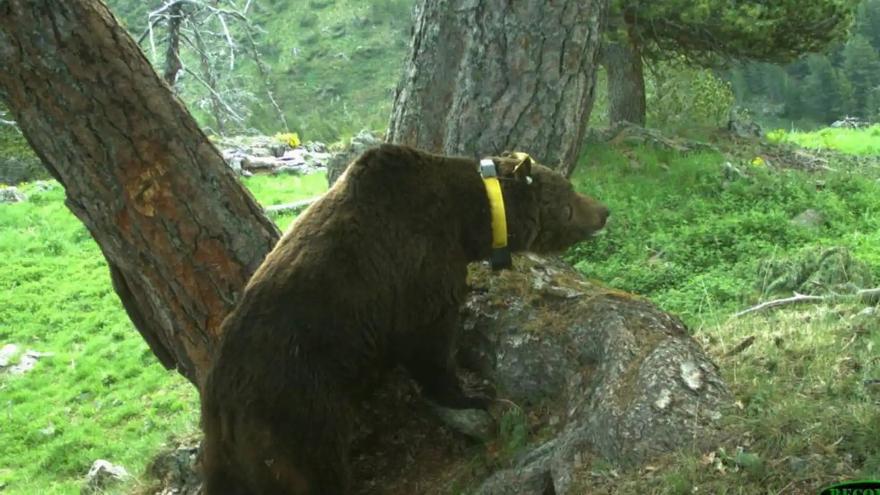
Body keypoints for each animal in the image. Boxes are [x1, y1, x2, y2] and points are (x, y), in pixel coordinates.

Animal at [202, 143, 608, 495]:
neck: (470, 219)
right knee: (316, 470)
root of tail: (219, 405)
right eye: (570, 191)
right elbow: (428, 341)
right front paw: (474, 394)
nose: (604, 210)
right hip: (296, 412)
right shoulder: (418, 266)